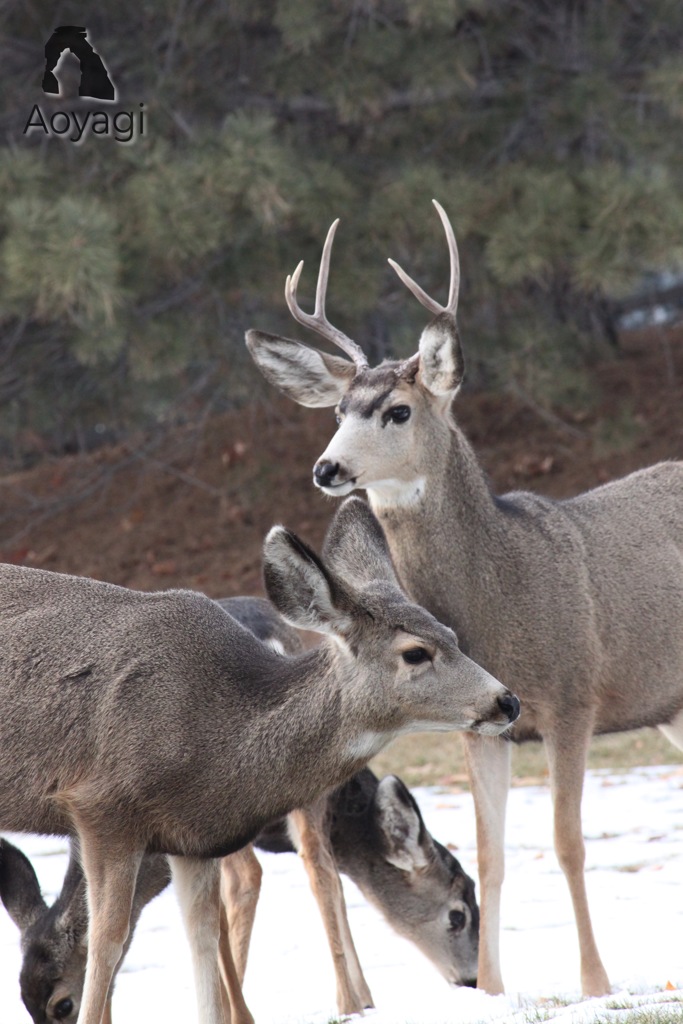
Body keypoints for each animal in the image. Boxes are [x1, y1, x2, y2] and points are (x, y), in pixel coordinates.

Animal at [0, 497, 518, 1024]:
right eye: (415, 652)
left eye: (451, 634)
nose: (507, 701)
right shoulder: (100, 807)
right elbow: (106, 943)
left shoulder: (193, 837)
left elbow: (204, 937)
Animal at [245, 201, 683, 999]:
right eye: (336, 410)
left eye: (396, 411)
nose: (327, 468)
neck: (506, 591)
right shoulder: (485, 725)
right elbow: (492, 853)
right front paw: (500, 988)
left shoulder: (573, 696)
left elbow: (567, 843)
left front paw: (595, 983)